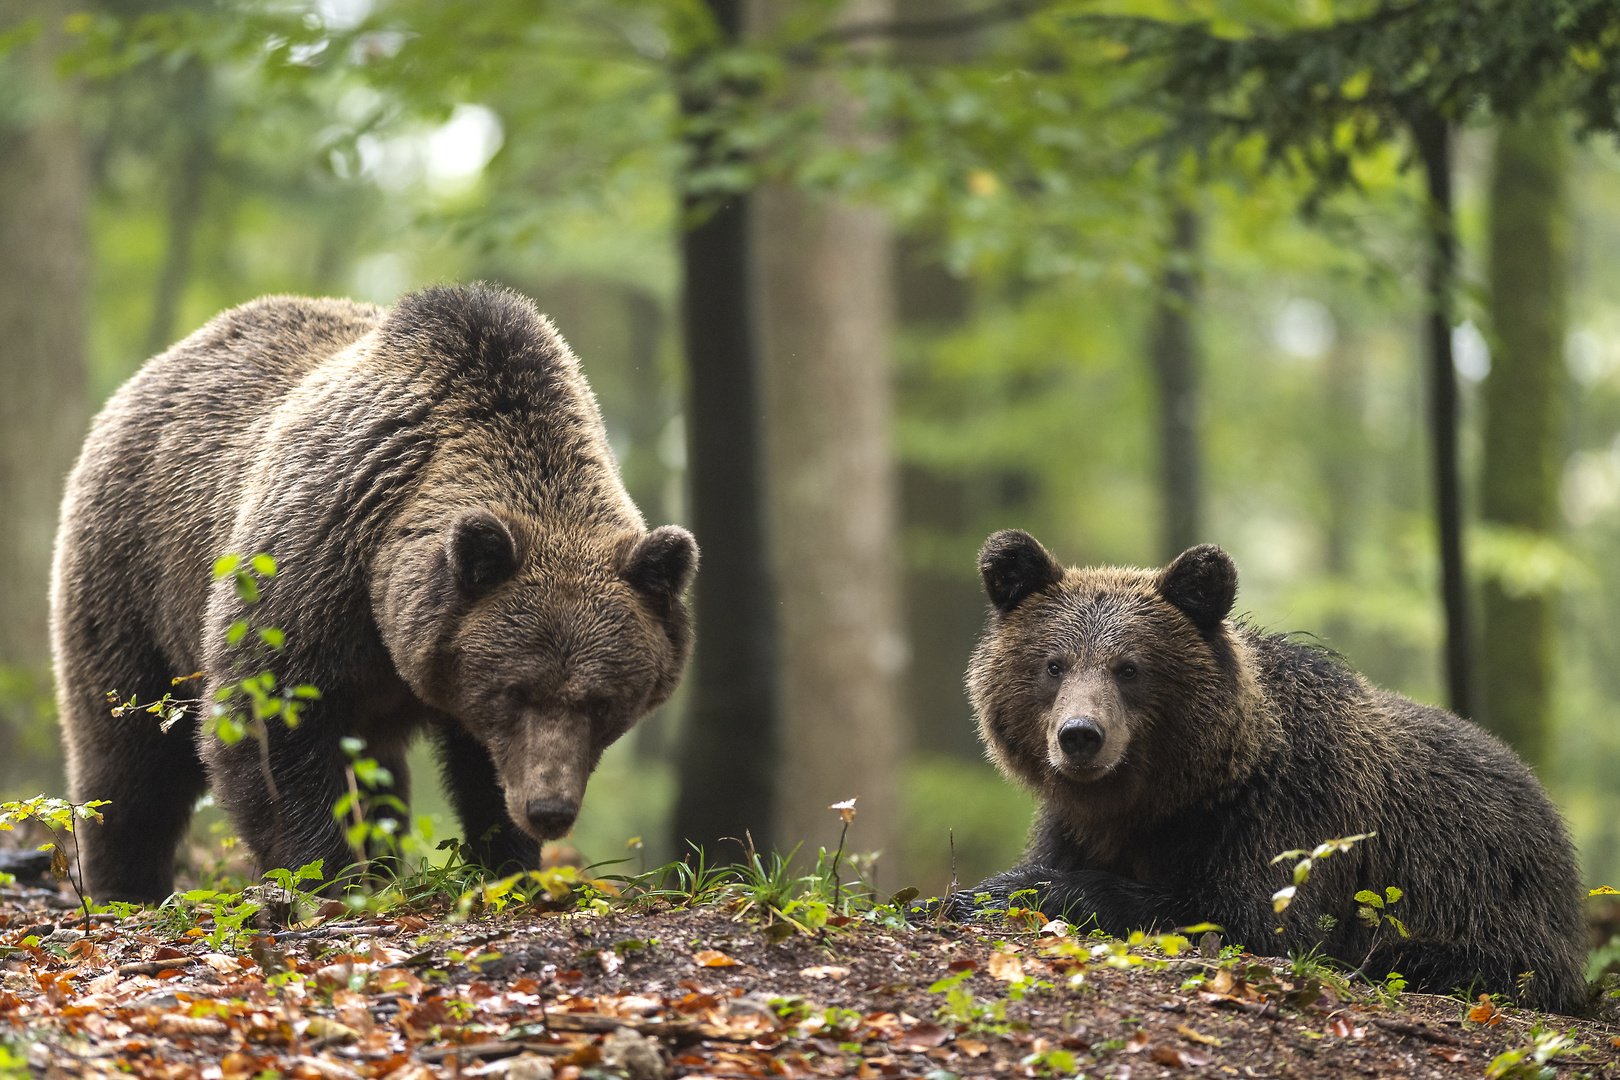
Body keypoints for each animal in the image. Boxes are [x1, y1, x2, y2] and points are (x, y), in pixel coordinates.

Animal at [49, 284, 696, 906]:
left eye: (602, 702)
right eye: (515, 691)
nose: (549, 810)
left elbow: (480, 771)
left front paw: (510, 869)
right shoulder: (313, 564)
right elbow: (268, 720)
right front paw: (326, 877)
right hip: (132, 575)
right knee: (128, 747)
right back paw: (127, 884)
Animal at [946, 527, 1587, 1016]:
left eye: (1129, 667)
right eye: (1054, 664)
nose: (1080, 735)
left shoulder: (1285, 817)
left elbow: (1247, 917)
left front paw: (993, 893)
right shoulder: (1078, 825)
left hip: (1489, 906)